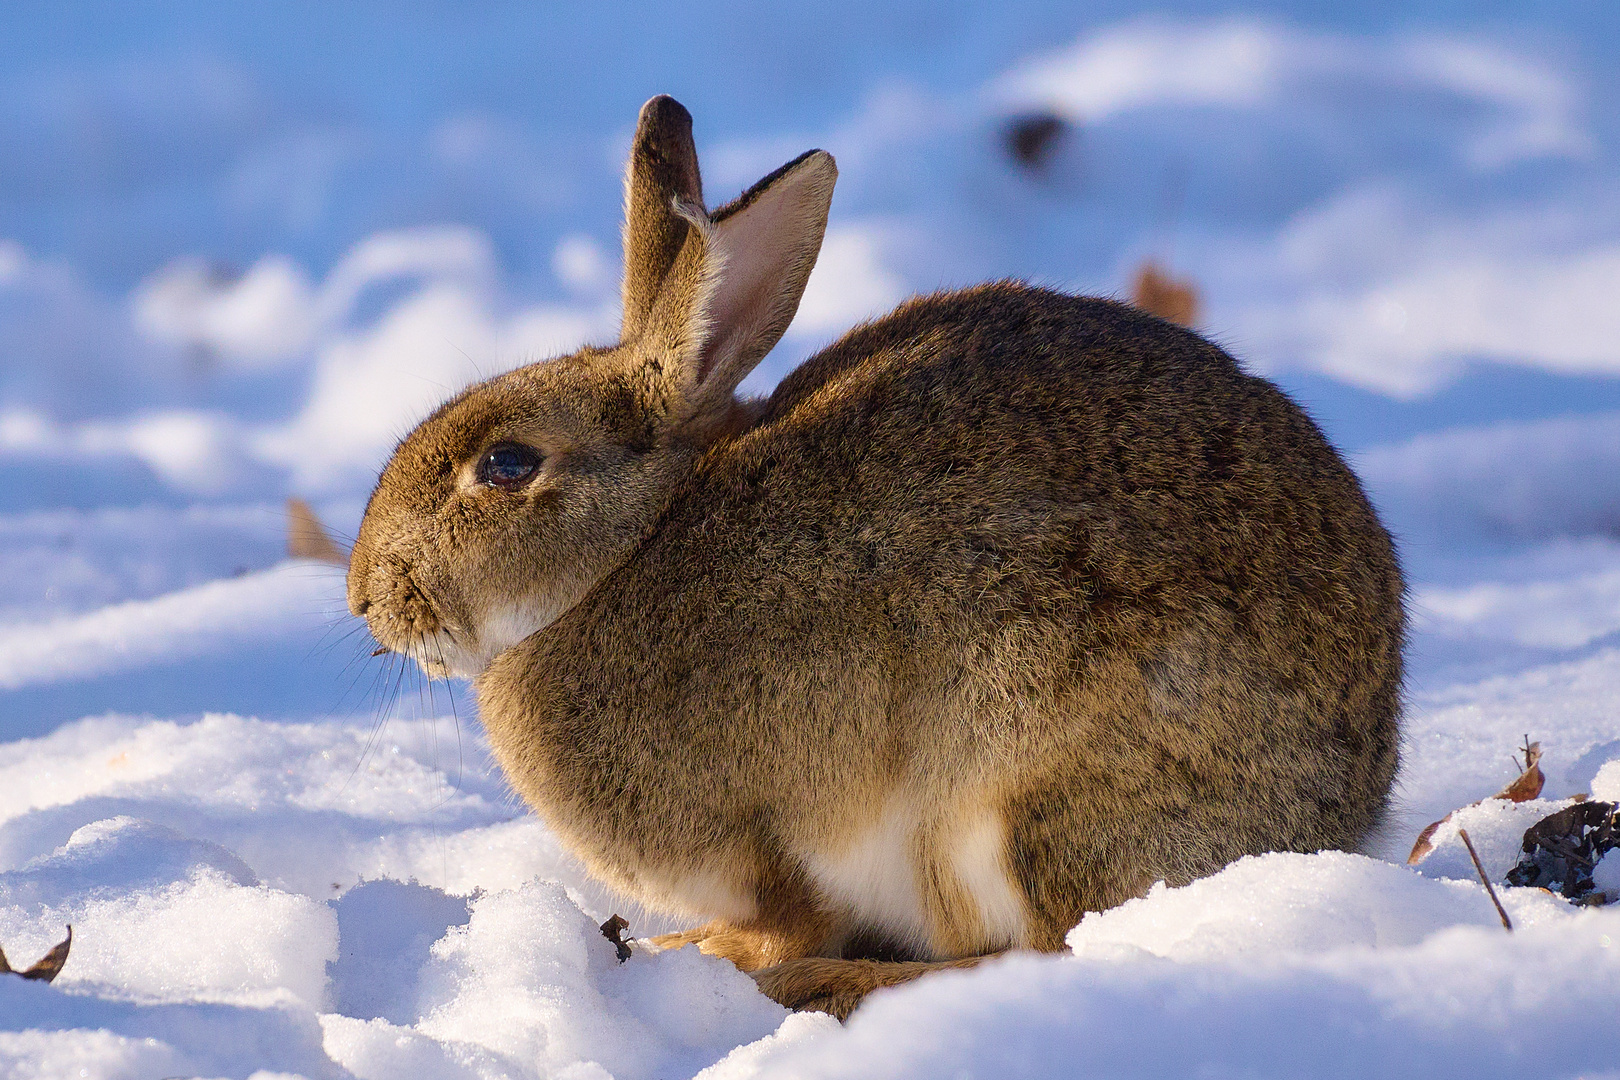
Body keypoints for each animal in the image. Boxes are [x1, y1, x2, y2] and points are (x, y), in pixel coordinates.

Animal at [351, 97, 1406, 1016]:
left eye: (506, 464)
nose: (367, 596)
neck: (628, 549)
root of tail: (1333, 814)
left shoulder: (765, 846)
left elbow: (785, 919)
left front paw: (703, 954)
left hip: (1001, 783)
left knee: (1037, 949)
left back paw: (830, 982)